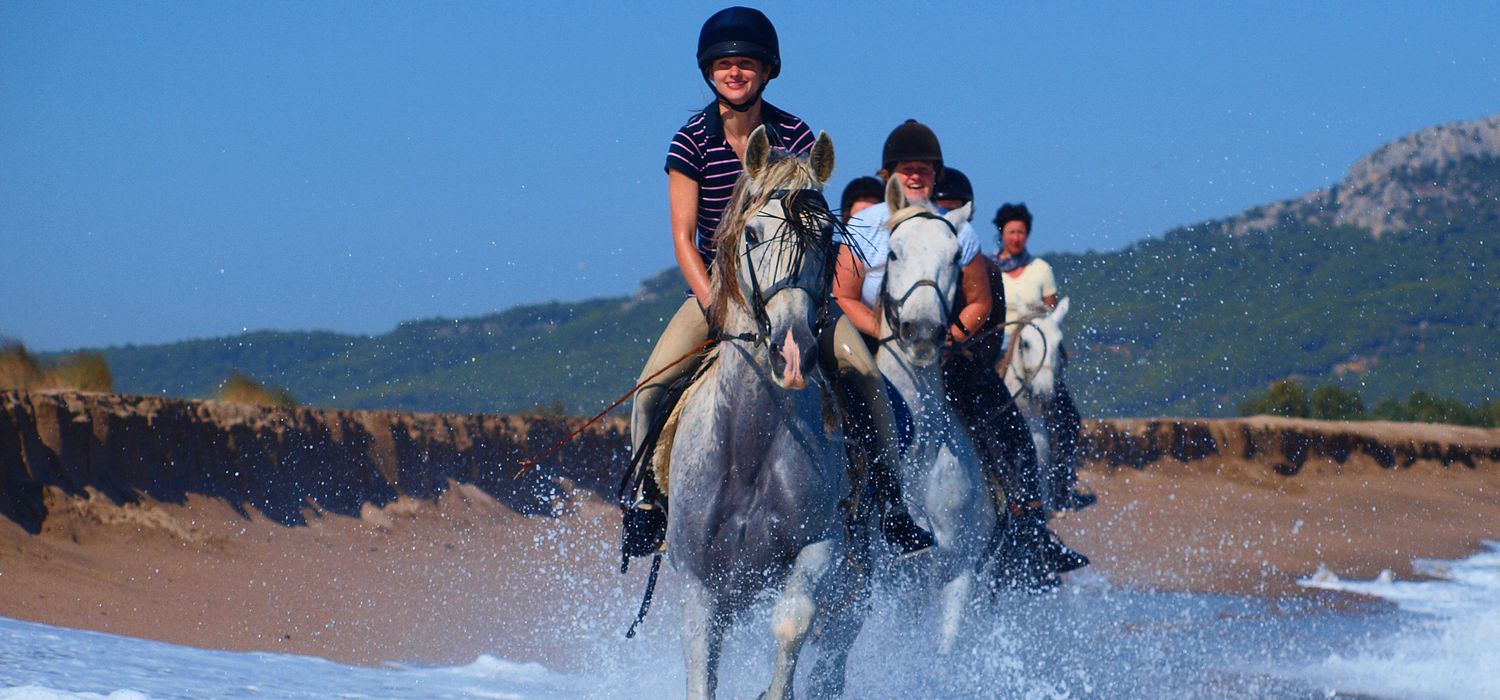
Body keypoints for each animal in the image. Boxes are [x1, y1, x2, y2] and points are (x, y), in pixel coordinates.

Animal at [672, 127, 870, 700]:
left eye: (827, 240)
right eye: (754, 233)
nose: (793, 346)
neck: (747, 446)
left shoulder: (820, 546)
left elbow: (792, 622)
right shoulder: (698, 575)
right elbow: (702, 661)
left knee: (832, 658)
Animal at [870, 179, 996, 653]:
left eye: (956, 256)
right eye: (893, 252)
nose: (923, 332)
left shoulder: (958, 571)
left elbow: (943, 653)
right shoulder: (886, 584)